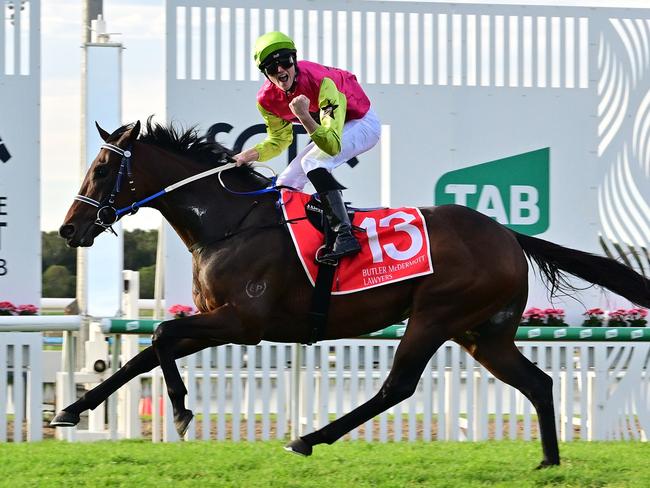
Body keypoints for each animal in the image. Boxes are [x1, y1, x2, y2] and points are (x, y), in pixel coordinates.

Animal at [52, 119, 648, 468]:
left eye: (101, 168)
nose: (69, 229)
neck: (229, 223)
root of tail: (507, 234)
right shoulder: (219, 319)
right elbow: (145, 354)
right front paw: (71, 411)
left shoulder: (243, 323)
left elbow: (160, 333)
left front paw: (179, 410)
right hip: (483, 333)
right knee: (539, 382)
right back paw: (549, 462)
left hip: (434, 317)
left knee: (397, 387)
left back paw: (308, 438)